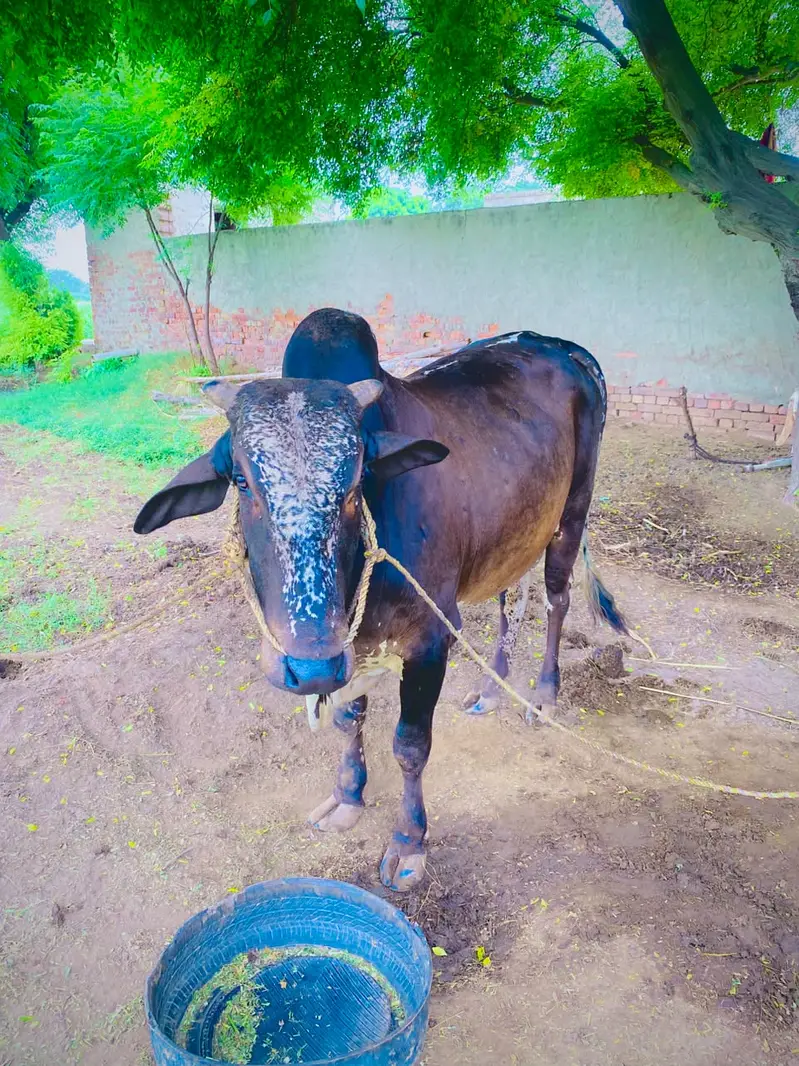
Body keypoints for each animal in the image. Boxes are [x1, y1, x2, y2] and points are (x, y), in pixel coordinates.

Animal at [134, 308, 629, 892]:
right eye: (242, 480)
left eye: (355, 484)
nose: (307, 666)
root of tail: (559, 345)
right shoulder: (349, 650)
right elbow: (349, 719)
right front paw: (348, 795)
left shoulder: (430, 640)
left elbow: (410, 744)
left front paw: (409, 842)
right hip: (513, 529)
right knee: (510, 600)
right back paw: (491, 690)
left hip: (571, 515)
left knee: (556, 600)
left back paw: (545, 695)